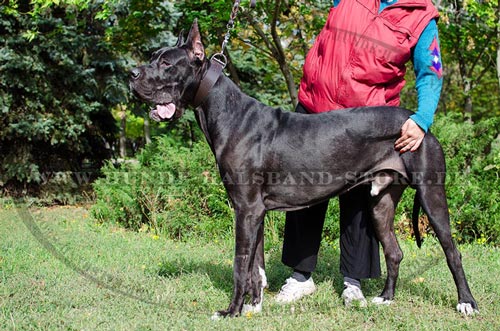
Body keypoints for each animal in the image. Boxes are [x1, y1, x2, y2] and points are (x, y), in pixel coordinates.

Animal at [129, 21, 476, 320]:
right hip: (381, 202)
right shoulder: (256, 211)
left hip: (432, 195)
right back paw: (386, 298)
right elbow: (256, 266)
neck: (225, 111)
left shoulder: (246, 209)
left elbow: (241, 265)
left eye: (166, 63)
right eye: (152, 57)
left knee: (453, 251)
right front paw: (253, 307)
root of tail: (420, 124)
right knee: (394, 252)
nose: (131, 73)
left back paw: (466, 303)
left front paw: (231, 311)